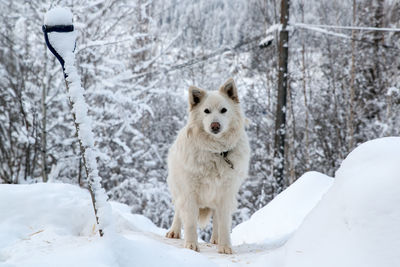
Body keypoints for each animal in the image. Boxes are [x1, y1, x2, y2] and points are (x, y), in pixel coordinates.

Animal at [166, 78, 250, 255]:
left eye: (224, 110)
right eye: (206, 111)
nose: (215, 126)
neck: (216, 152)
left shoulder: (226, 194)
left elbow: (224, 224)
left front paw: (225, 247)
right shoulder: (189, 193)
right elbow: (190, 223)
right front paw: (191, 245)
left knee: (217, 219)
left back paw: (216, 239)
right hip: (178, 190)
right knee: (178, 212)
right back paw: (174, 232)